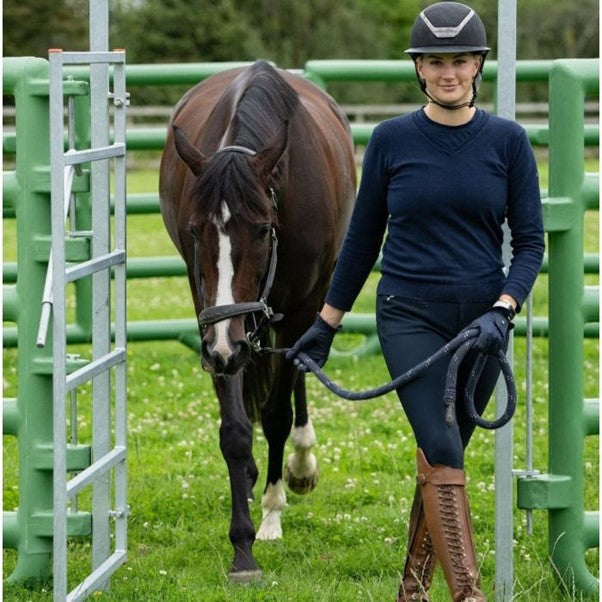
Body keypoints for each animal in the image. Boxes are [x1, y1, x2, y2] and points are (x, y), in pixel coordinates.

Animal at [159, 59, 356, 576]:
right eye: (195, 230)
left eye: (264, 228)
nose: (225, 351)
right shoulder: (214, 319)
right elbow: (235, 430)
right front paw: (242, 547)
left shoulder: (300, 306)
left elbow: (276, 414)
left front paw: (271, 512)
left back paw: (300, 465)